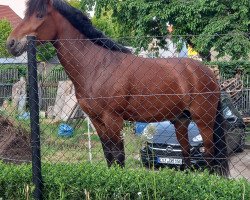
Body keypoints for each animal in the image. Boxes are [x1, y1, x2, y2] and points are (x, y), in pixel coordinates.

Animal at [5, 0, 229, 176]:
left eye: (39, 15)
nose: (11, 43)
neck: (97, 65)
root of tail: (208, 73)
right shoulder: (97, 121)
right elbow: (109, 156)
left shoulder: (113, 119)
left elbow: (119, 157)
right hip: (181, 120)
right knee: (186, 153)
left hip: (204, 120)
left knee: (210, 155)